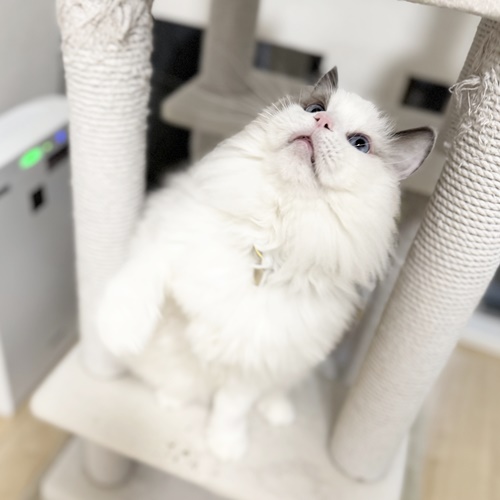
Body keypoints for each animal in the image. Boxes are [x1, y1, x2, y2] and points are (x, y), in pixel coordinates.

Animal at [97, 67, 435, 461]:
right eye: (315, 107)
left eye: (359, 144)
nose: (321, 121)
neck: (266, 241)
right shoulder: (166, 242)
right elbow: (137, 283)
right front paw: (118, 336)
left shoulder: (252, 363)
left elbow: (230, 410)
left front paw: (225, 449)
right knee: (179, 382)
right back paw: (171, 400)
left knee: (272, 394)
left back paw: (278, 415)